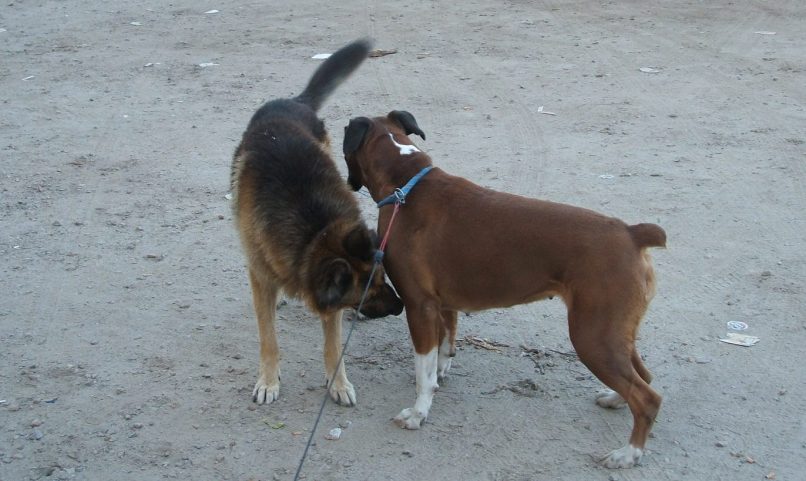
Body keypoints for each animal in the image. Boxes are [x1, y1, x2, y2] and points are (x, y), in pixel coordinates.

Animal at [230, 39, 404, 404]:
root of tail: (295, 102)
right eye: (366, 293)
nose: (400, 306)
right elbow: (268, 337)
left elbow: (333, 344)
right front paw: (268, 380)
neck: (315, 231)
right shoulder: (263, 273)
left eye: (384, 278)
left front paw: (338, 383)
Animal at [344, 110, 664, 466]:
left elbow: (423, 367)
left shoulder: (419, 305)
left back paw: (628, 453)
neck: (406, 182)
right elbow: (445, 344)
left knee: (647, 397)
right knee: (643, 377)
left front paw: (418, 412)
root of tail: (632, 233)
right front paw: (441, 374)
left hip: (593, 337)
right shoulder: (443, 305)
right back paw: (616, 400)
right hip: (615, 333)